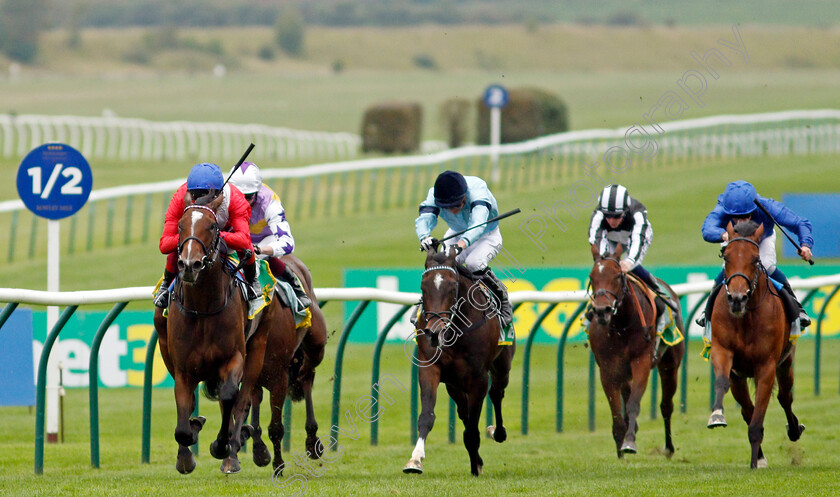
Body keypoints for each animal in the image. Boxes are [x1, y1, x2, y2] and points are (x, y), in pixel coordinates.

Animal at [246, 254, 328, 470]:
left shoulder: (279, 378)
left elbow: (276, 427)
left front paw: (278, 465)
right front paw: (259, 451)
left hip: (316, 345)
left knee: (307, 376)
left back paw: (312, 440)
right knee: (257, 396)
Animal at [404, 246, 516, 474]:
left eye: (452, 286)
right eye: (423, 286)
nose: (434, 332)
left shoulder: (479, 378)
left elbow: (473, 427)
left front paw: (476, 466)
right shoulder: (430, 368)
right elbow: (427, 415)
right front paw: (415, 460)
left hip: (502, 366)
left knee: (496, 393)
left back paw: (497, 432)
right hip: (454, 383)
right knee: (464, 412)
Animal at [588, 250, 684, 460]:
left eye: (617, 276)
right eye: (592, 277)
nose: (602, 311)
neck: (621, 325)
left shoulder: (641, 362)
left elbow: (633, 404)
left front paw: (629, 442)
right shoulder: (607, 370)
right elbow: (617, 413)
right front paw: (619, 451)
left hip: (670, 364)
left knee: (666, 405)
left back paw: (669, 448)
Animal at [712, 219, 804, 466]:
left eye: (755, 259)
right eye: (726, 256)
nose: (736, 299)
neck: (746, 317)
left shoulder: (766, 366)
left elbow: (758, 420)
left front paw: (755, 463)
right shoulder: (723, 352)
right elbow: (722, 383)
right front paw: (716, 415)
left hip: (786, 362)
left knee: (784, 397)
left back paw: (794, 429)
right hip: (739, 378)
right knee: (747, 409)